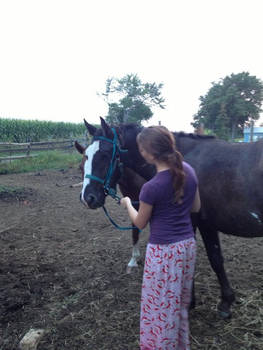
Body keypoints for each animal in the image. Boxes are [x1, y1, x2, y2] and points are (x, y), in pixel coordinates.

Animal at [75, 118, 263, 320]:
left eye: (104, 155)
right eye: (85, 157)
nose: (87, 198)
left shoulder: (192, 222)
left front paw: (190, 302)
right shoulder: (207, 224)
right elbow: (216, 260)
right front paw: (226, 302)